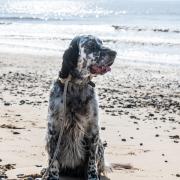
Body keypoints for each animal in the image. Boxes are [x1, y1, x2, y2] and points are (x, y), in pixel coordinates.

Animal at [45, 34, 116, 179]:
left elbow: (91, 162)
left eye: (101, 42)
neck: (76, 86)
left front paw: (93, 176)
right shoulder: (53, 131)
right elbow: (53, 161)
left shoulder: (93, 131)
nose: (114, 53)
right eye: (91, 45)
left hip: (100, 145)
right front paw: (52, 176)